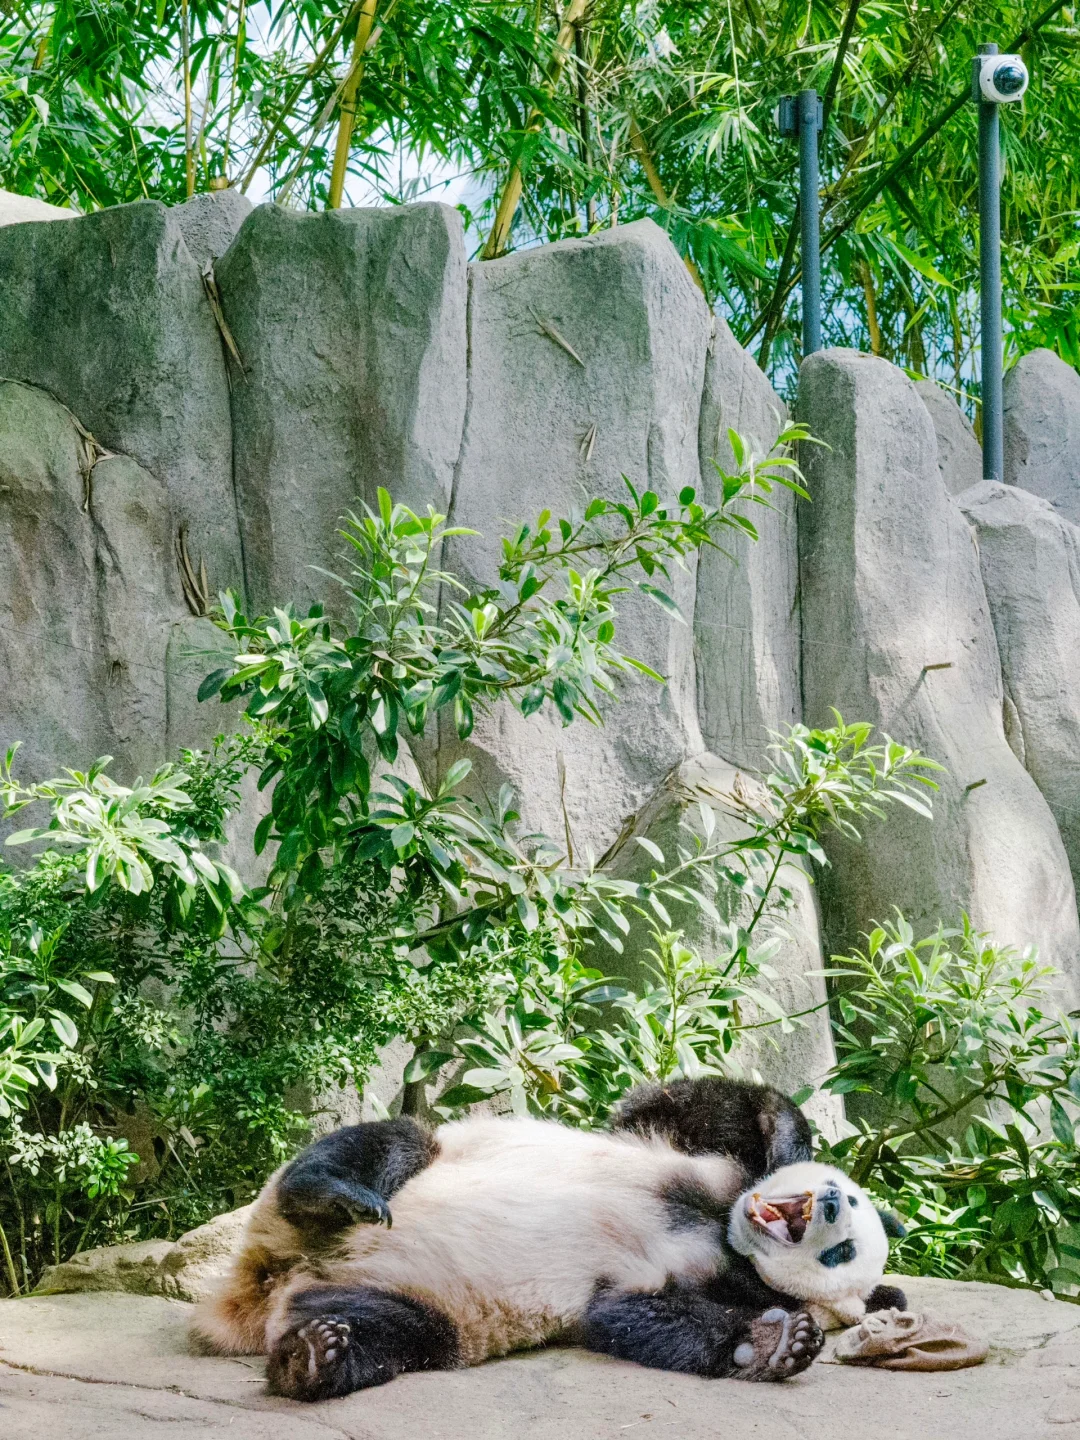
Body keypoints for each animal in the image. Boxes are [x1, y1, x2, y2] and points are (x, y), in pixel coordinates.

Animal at [198, 1082, 910, 1393]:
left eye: (843, 1253)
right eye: (848, 1203)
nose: (826, 1205)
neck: (725, 1236)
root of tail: (262, 1280)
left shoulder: (702, 1282)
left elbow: (626, 1315)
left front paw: (775, 1343)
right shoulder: (694, 1162)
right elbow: (674, 1104)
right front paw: (790, 1146)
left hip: (409, 1300)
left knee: (397, 1331)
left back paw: (312, 1358)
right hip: (400, 1171)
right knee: (388, 1143)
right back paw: (339, 1195)